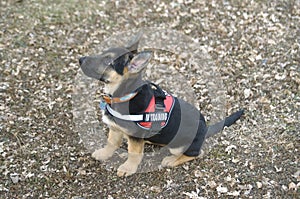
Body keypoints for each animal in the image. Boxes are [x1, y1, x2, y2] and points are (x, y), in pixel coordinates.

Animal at [78, 33, 244, 177]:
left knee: (196, 153)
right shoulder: (115, 128)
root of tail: (205, 129)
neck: (125, 95)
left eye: (107, 61)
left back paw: (171, 160)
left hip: (179, 146)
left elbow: (134, 153)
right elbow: (111, 143)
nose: (80, 59)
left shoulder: (134, 136)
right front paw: (104, 153)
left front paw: (128, 168)